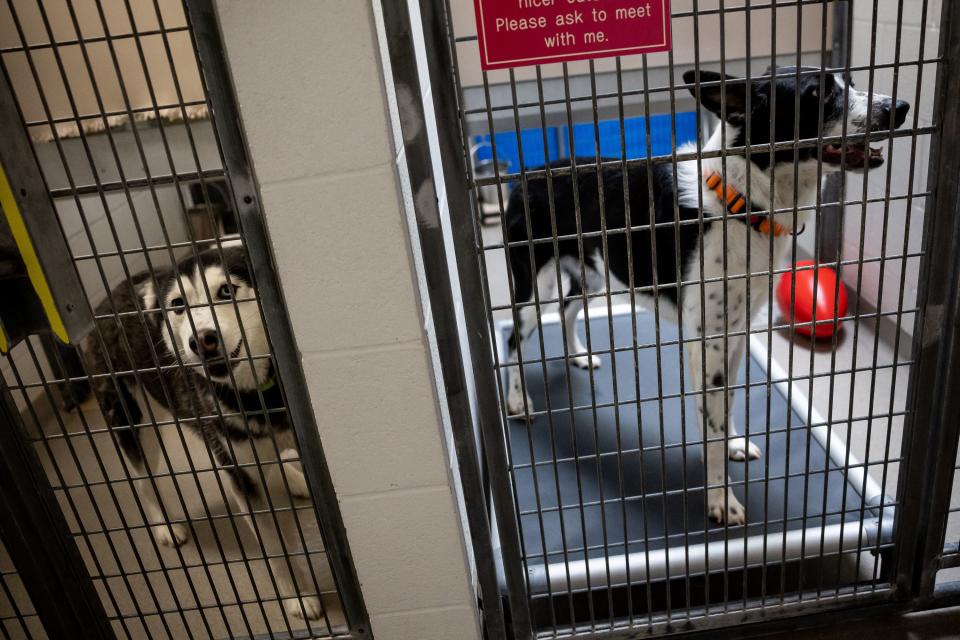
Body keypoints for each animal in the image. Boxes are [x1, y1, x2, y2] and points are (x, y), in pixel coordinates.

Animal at [83, 244, 322, 620]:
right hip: (136, 424)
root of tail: (108, 300)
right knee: (142, 481)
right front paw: (300, 596)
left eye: (226, 291)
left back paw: (294, 478)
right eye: (178, 304)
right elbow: (276, 549)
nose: (203, 340)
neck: (258, 394)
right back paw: (165, 525)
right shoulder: (240, 477)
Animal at [502, 66, 908, 524]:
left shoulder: (734, 335)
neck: (741, 201)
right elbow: (710, 425)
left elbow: (725, 405)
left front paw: (731, 444)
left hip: (594, 274)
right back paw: (517, 400)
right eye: (818, 95)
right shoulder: (708, 343)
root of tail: (529, 173)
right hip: (533, 287)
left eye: (851, 83)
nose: (900, 107)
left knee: (567, 310)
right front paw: (720, 498)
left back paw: (578, 354)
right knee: (514, 339)